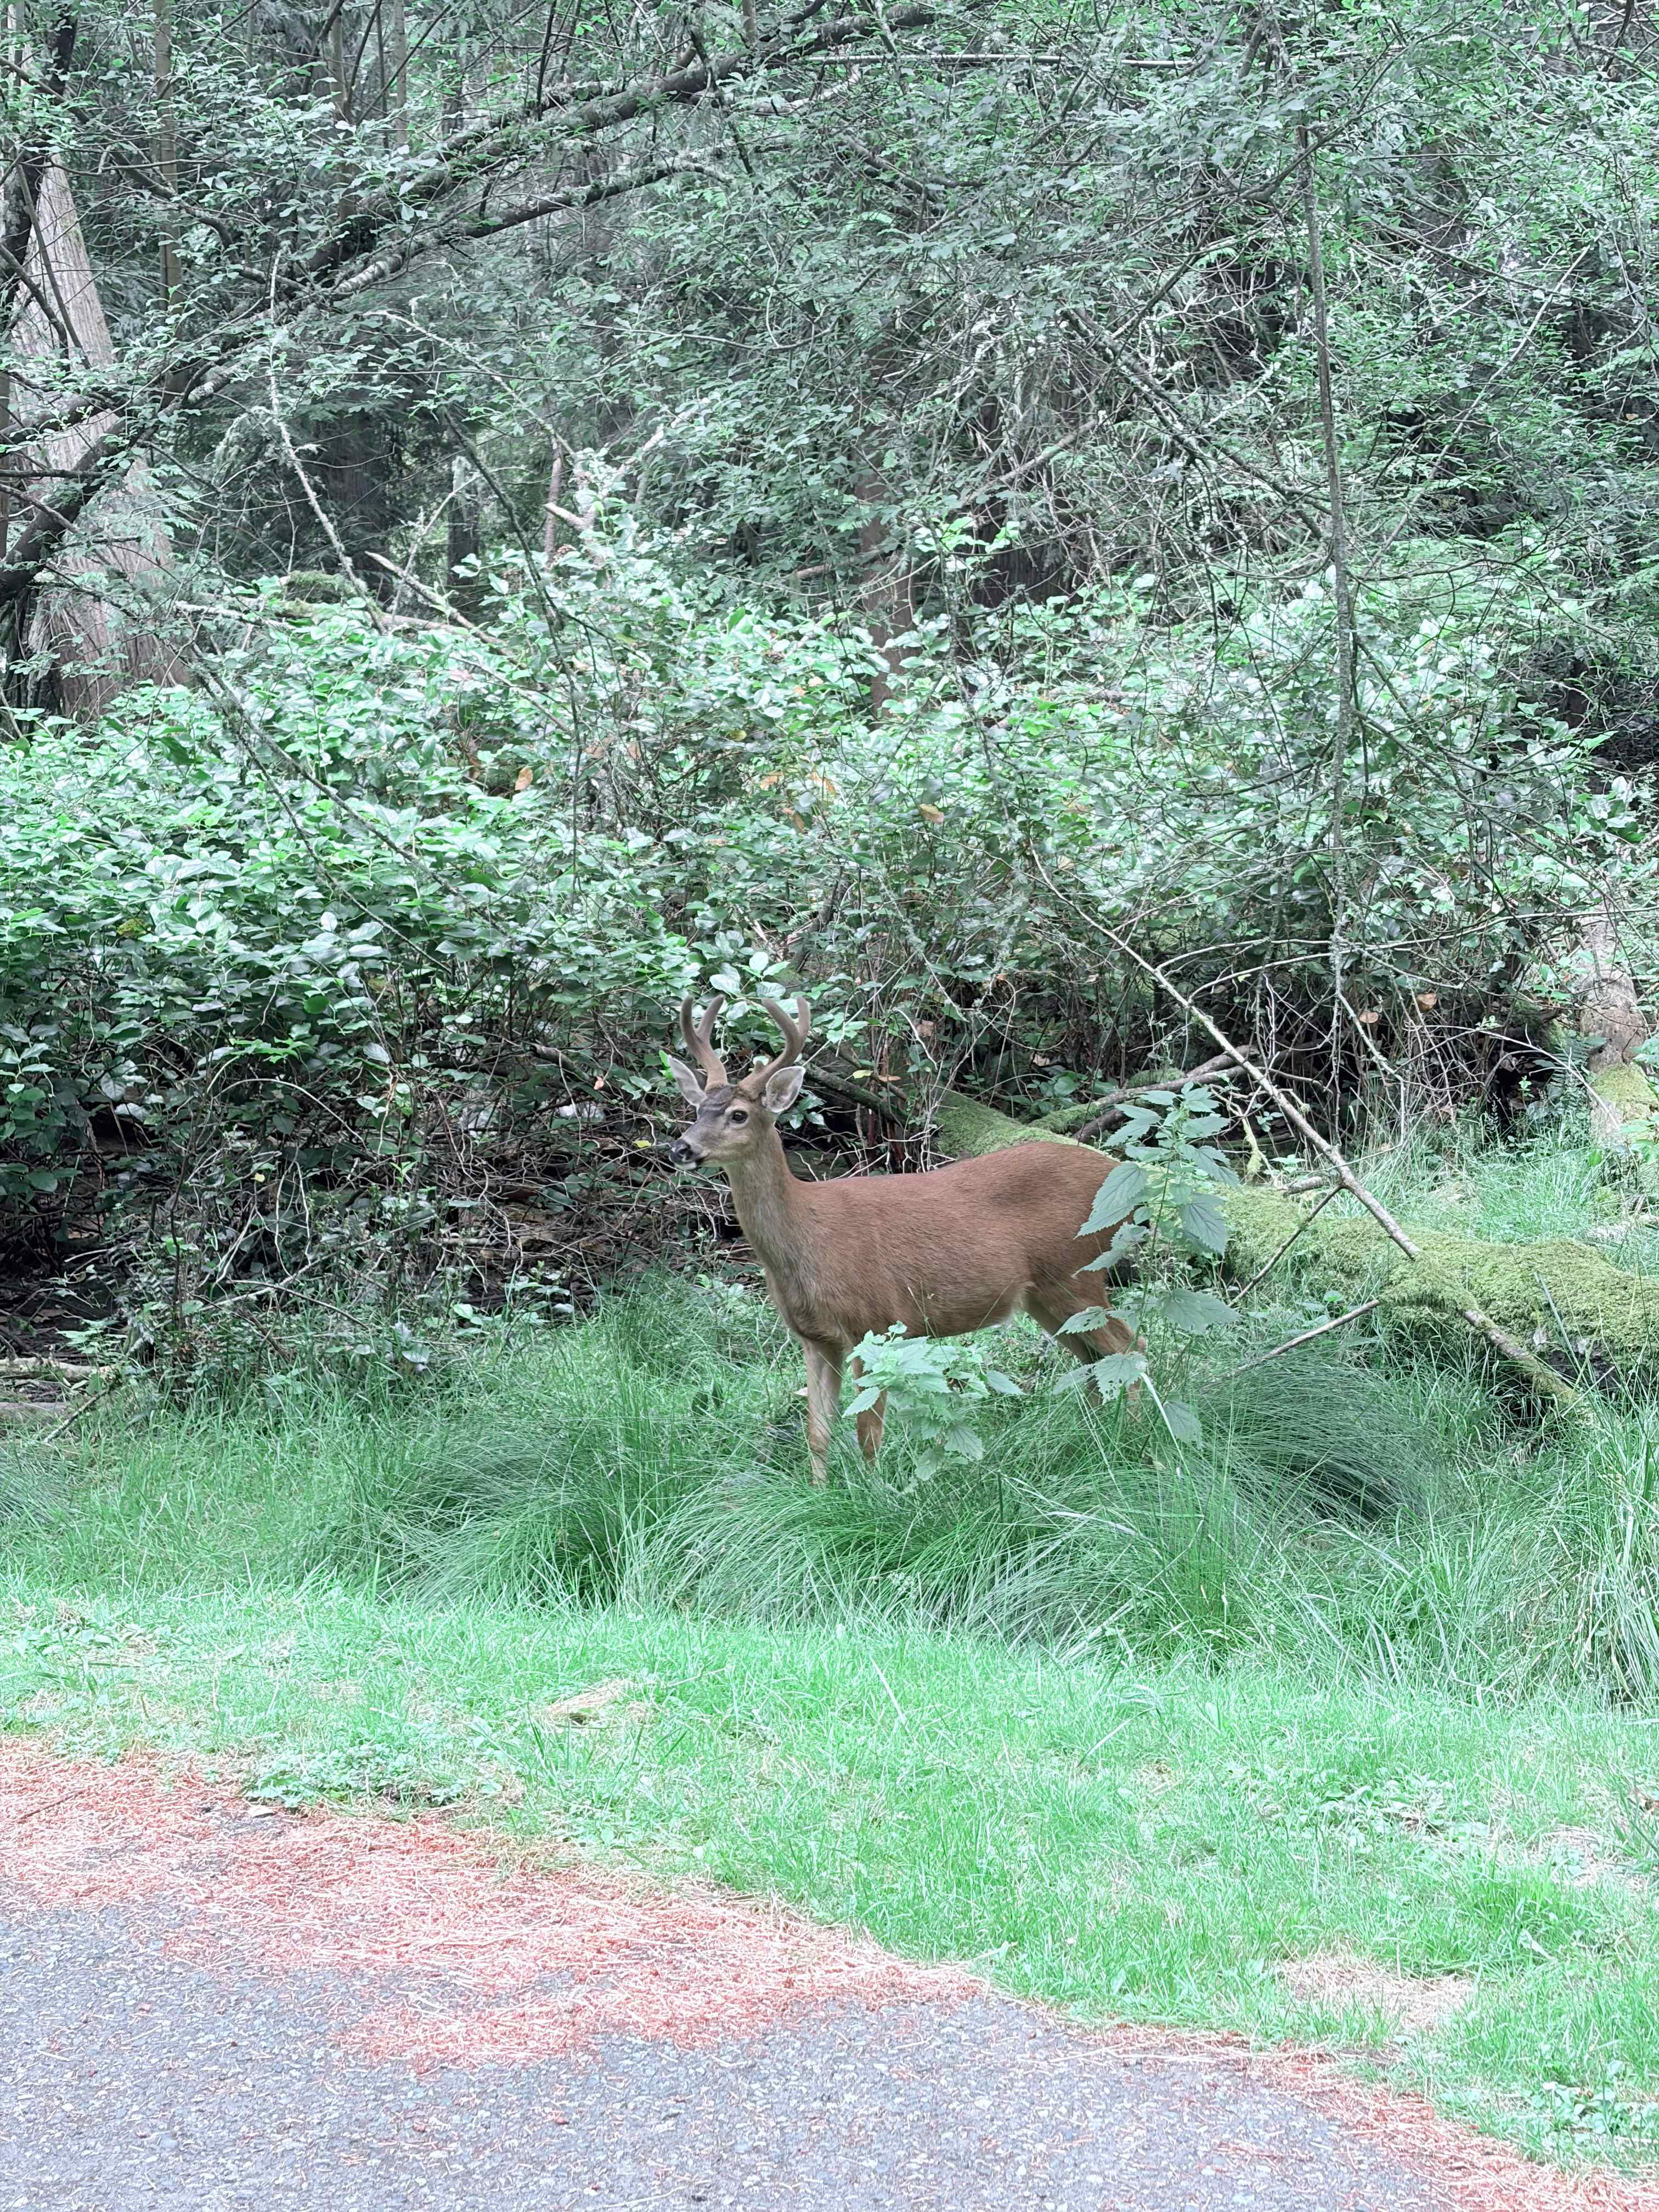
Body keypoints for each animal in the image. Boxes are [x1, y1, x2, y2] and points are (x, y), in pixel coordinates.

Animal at [666, 992, 1140, 1483]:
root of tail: (1115, 1173)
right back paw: (1094, 1440)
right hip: (1044, 1295)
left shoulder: (875, 1322)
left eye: (738, 1115)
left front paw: (874, 1492)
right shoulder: (815, 1338)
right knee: (1093, 1358)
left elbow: (868, 1432)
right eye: (697, 1110)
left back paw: (1138, 1443)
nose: (680, 1148)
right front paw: (818, 1491)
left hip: (1077, 1272)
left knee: (1129, 1345)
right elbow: (817, 1432)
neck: (807, 1238)